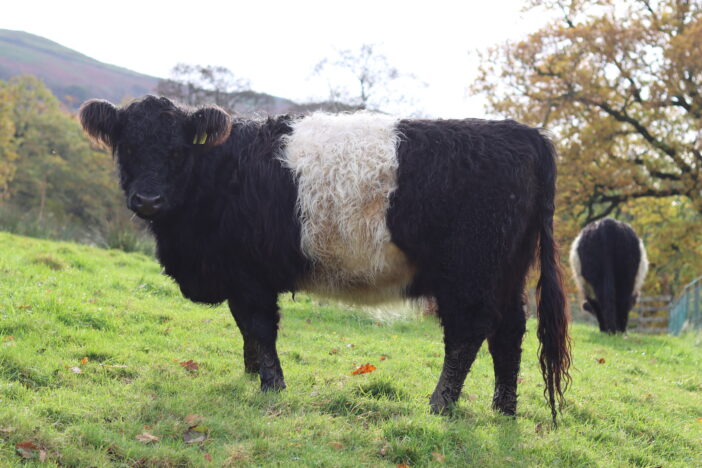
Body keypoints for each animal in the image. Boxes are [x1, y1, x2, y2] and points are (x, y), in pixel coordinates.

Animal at [79, 95, 571, 422]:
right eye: (127, 147)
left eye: (178, 150)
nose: (148, 199)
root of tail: (524, 133)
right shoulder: (240, 277)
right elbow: (246, 330)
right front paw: (251, 373)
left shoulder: (249, 276)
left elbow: (259, 327)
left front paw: (271, 386)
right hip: (507, 272)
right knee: (509, 332)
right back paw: (504, 409)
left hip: (469, 273)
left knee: (468, 333)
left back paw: (439, 405)